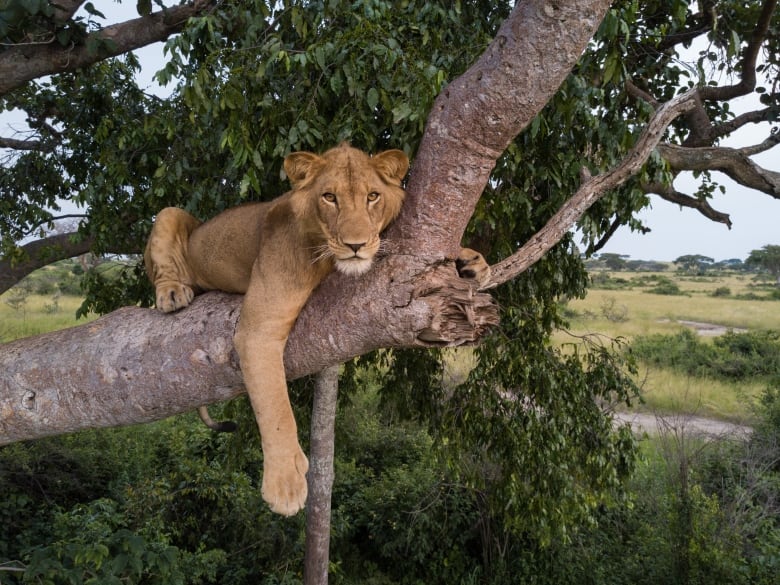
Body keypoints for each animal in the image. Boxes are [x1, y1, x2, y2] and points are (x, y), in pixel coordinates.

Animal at [145, 143, 488, 516]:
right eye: (329, 197)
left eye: (372, 196)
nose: (356, 245)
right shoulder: (258, 329)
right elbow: (275, 405)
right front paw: (285, 483)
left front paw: (471, 261)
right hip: (169, 215)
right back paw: (172, 293)